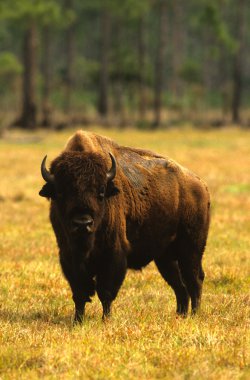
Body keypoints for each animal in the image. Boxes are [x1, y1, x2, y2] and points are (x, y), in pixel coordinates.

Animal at [39, 131, 211, 324]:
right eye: (61, 193)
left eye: (101, 193)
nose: (83, 223)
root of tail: (201, 186)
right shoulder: (69, 258)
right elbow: (80, 293)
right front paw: (78, 320)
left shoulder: (113, 255)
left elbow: (105, 292)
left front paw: (106, 320)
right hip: (165, 258)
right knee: (179, 286)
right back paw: (180, 315)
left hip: (191, 249)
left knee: (194, 279)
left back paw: (194, 315)